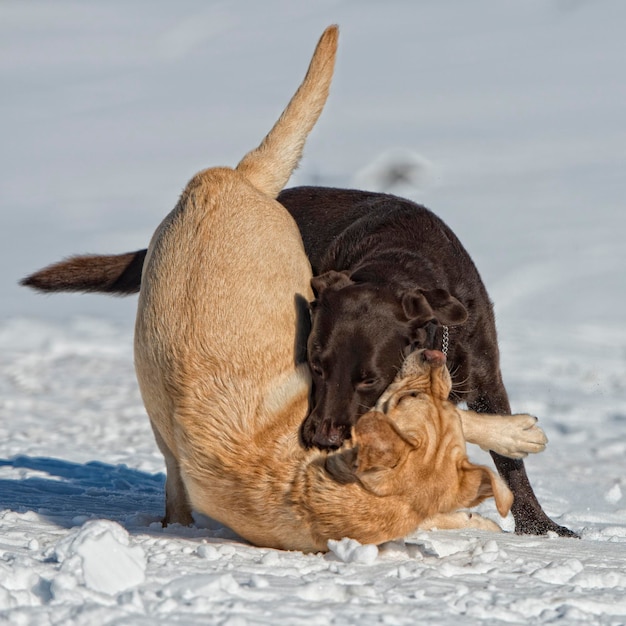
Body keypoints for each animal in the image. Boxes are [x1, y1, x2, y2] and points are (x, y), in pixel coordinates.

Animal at [134, 26, 544, 548]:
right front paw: (515, 435)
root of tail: (222, 178)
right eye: (316, 365)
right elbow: (459, 424)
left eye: (368, 376)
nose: (322, 437)